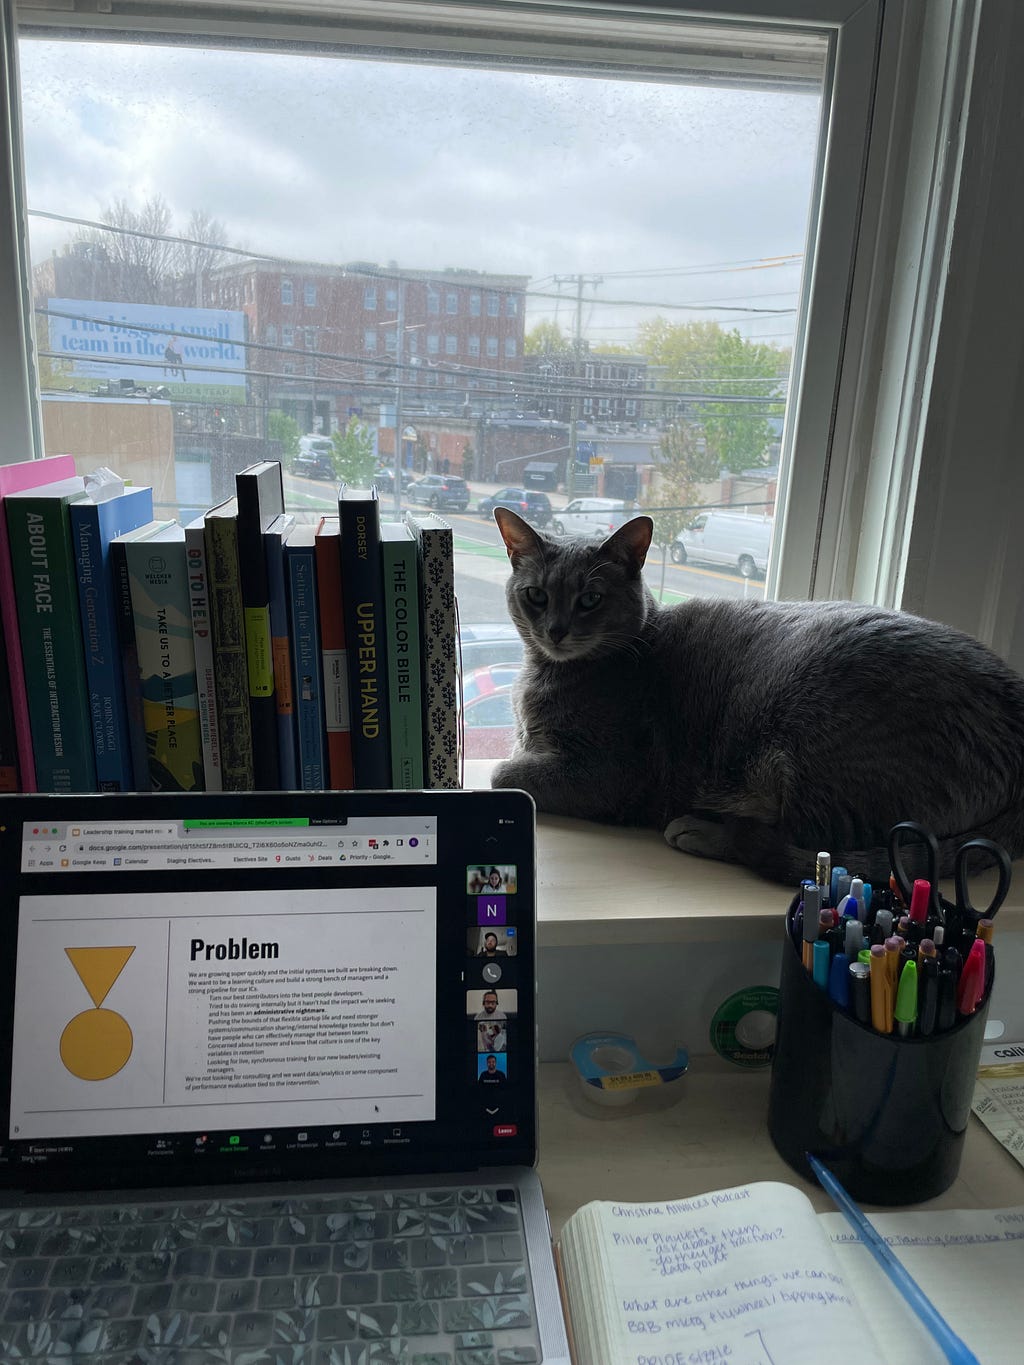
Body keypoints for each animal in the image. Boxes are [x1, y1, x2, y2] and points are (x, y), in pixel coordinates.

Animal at [488, 505, 1024, 884]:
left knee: (809, 850)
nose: (555, 630)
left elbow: (502, 772)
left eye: (590, 599)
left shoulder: (611, 773)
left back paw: (701, 830)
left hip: (816, 750)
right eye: (536, 595)